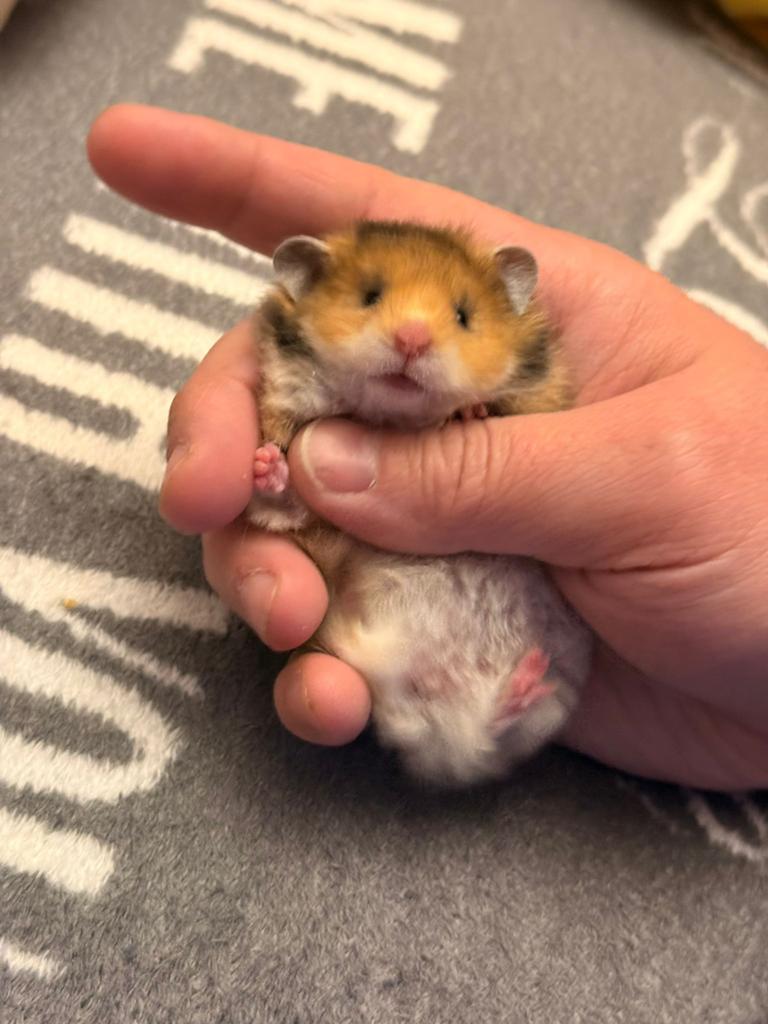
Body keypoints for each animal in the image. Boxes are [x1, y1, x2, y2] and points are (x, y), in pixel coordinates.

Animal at [246, 221, 593, 787]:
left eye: (464, 315)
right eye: (369, 296)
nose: (412, 339)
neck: (392, 417)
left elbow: (498, 408)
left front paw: (467, 414)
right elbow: (283, 502)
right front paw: (263, 463)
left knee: (492, 733)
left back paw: (524, 682)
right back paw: (517, 687)